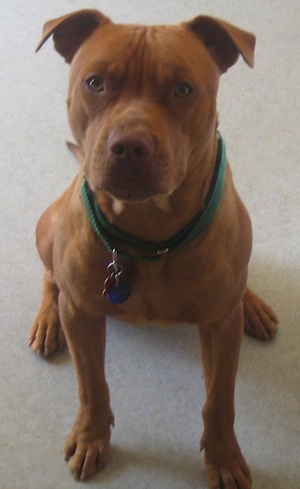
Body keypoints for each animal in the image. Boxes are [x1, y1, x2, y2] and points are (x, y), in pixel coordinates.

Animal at [29, 8, 278, 488]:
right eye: (95, 83)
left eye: (182, 89)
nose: (129, 145)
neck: (148, 232)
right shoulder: (82, 316)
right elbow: (91, 386)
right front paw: (90, 436)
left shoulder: (220, 327)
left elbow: (219, 399)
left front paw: (223, 456)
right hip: (47, 230)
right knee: (51, 279)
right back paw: (48, 320)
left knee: (240, 288)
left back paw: (252, 304)